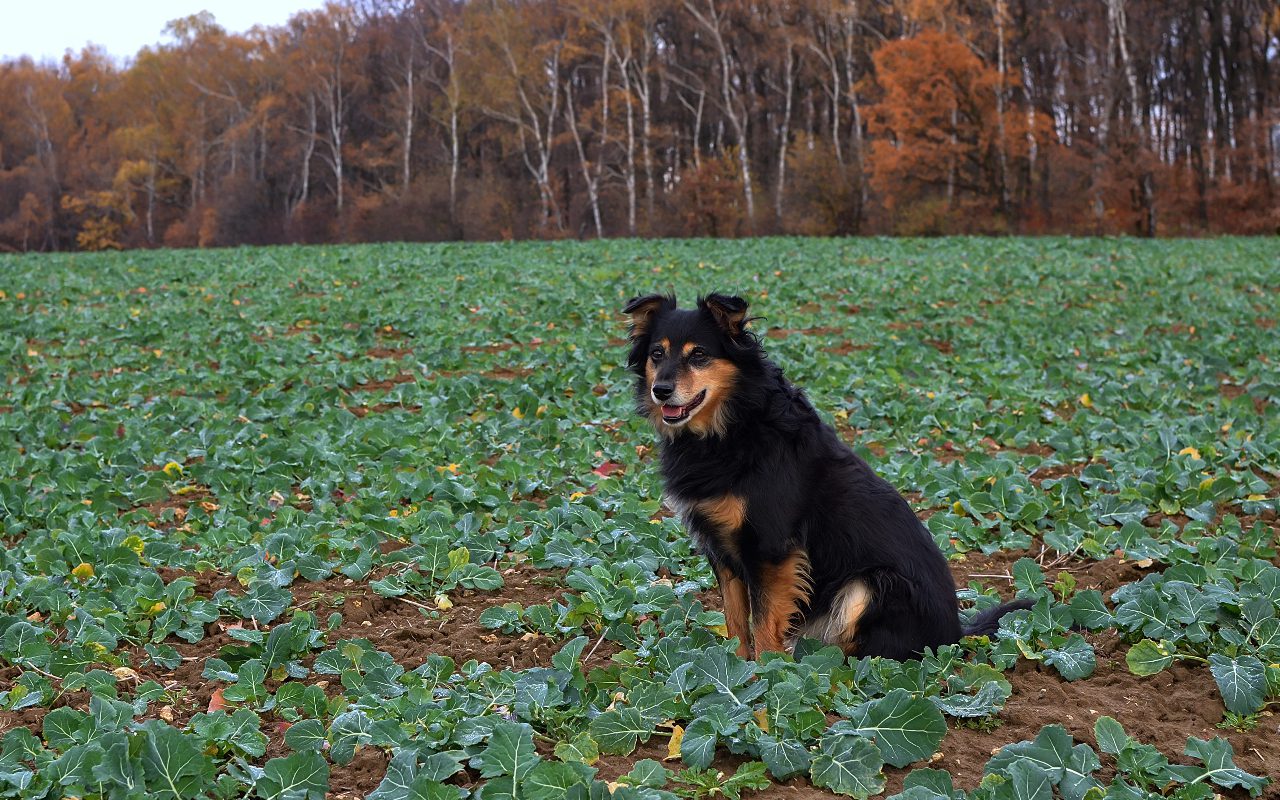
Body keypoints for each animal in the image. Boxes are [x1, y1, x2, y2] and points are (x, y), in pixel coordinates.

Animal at [619, 290, 1029, 660]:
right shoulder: (719, 546)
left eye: (700, 355)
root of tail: (956, 634)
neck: (732, 427)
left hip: (870, 584)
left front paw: (768, 673)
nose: (661, 390)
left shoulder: (770, 548)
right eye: (657, 354)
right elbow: (736, 620)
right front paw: (737, 666)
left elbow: (763, 621)